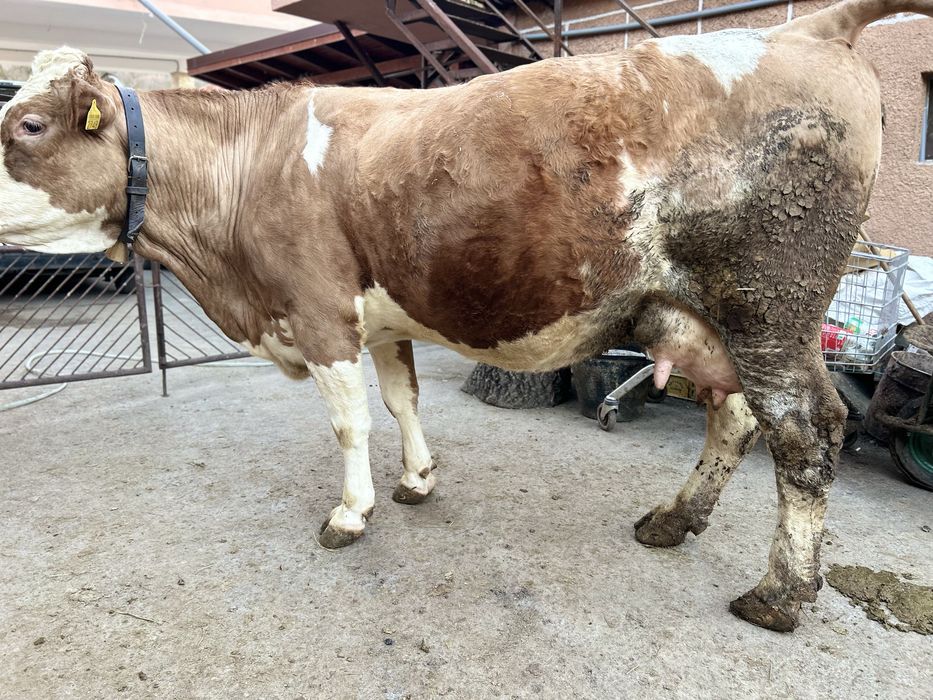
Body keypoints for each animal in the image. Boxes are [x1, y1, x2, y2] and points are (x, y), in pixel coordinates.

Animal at [0, 0, 927, 632]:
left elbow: (348, 424)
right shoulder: (384, 320)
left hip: (767, 306)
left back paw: (779, 593)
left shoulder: (320, 312)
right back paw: (673, 520)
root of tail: (809, 27)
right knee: (733, 418)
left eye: (30, 123)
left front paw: (352, 512)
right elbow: (402, 400)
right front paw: (417, 479)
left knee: (804, 433)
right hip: (706, 317)